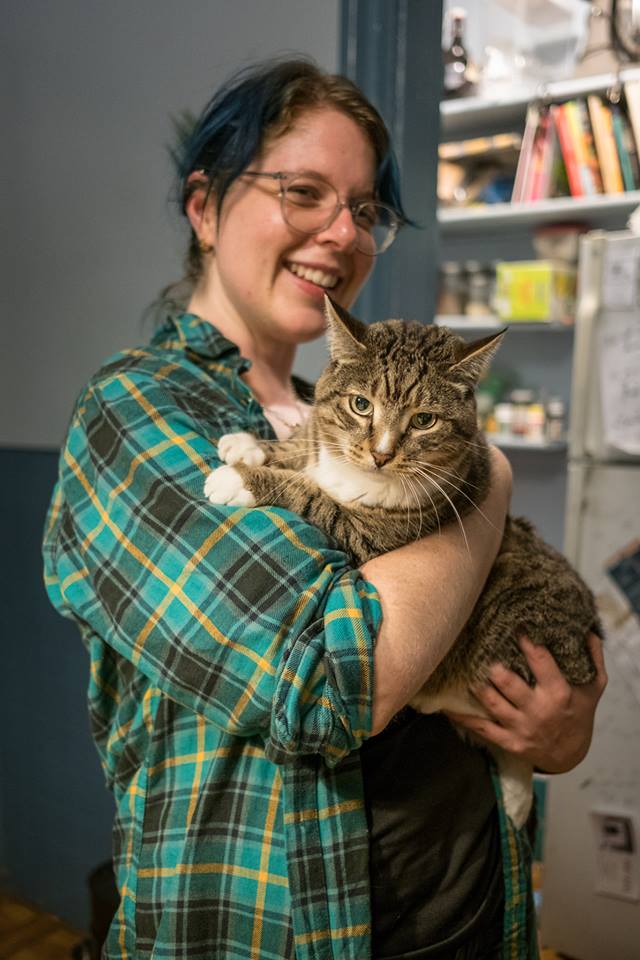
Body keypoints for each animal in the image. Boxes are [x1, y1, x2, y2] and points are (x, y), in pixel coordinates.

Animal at [204, 294, 600, 824]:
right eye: (360, 405)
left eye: (423, 420)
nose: (381, 454)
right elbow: (303, 450)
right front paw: (251, 444)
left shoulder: (373, 533)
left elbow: (314, 497)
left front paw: (239, 478)